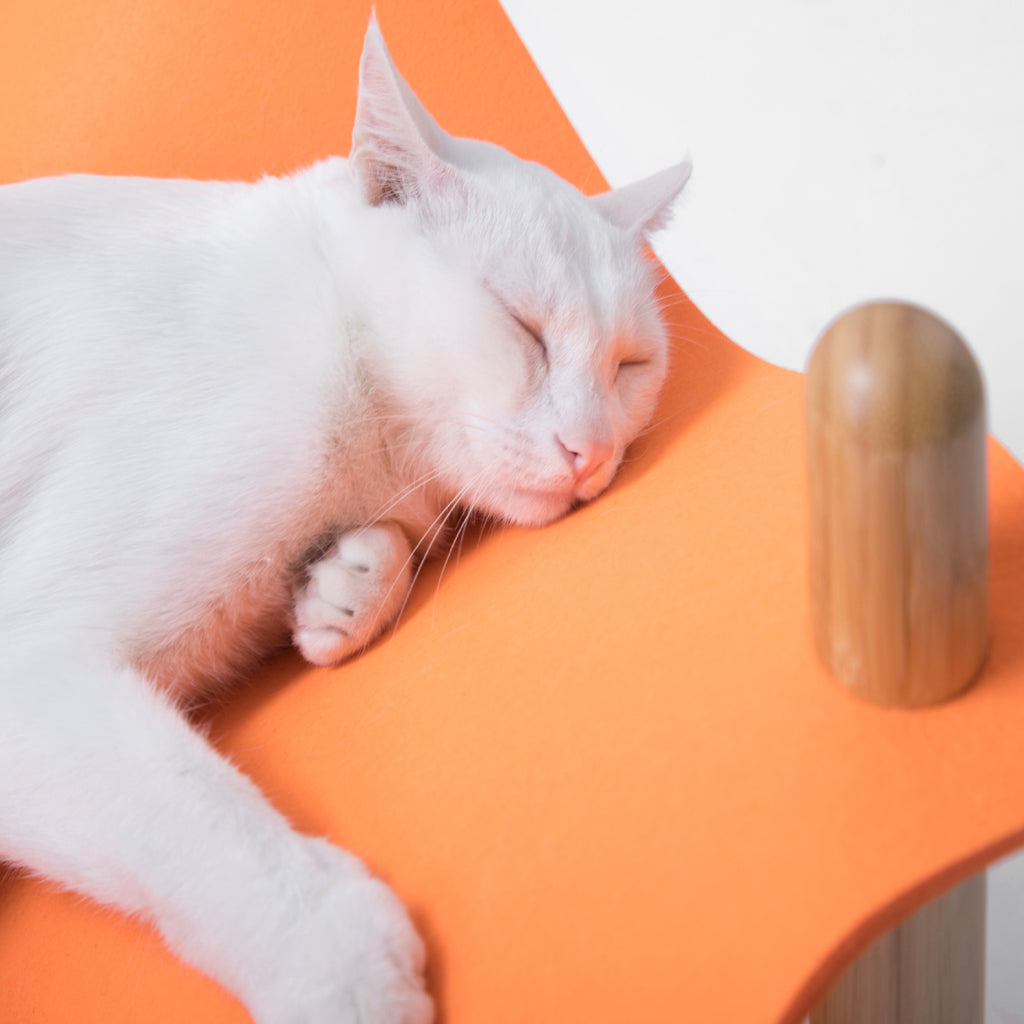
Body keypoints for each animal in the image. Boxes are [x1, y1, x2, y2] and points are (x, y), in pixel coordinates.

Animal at [0, 16, 692, 1024]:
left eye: (630, 367)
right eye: (521, 328)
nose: (590, 452)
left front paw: (347, 587)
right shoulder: (34, 667)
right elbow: (193, 816)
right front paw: (337, 963)